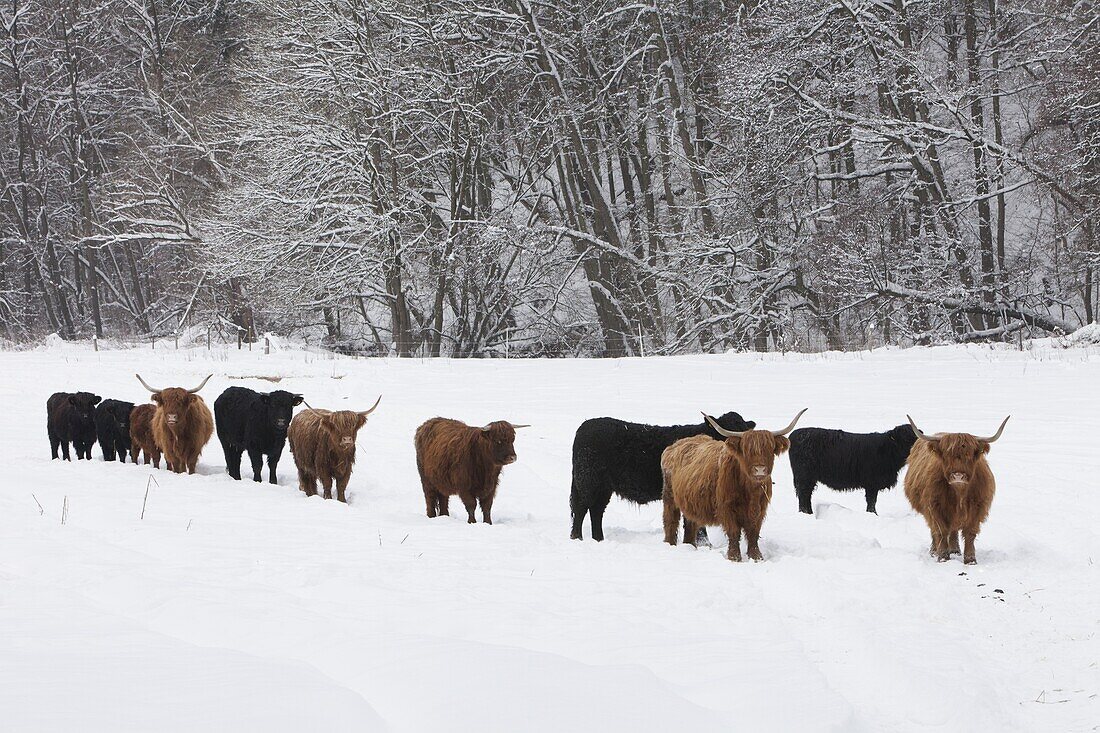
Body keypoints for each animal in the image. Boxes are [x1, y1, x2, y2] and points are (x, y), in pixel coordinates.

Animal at [567, 407, 756, 539]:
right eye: (726, 432)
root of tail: (584, 426)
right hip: (588, 483)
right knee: (581, 509)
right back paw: (578, 538)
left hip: (603, 487)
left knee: (596, 511)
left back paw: (598, 539)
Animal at [660, 407, 809, 556]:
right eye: (746, 450)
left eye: (770, 449)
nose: (759, 469)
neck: (750, 491)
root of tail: (675, 445)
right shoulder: (726, 508)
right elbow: (734, 532)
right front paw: (734, 557)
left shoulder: (760, 510)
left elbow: (753, 533)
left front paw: (756, 556)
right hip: (669, 497)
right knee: (670, 521)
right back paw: (669, 545)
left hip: (690, 501)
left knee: (691, 524)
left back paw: (690, 546)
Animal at [906, 413, 1007, 561]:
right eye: (947, 455)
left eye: (969, 454)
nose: (958, 476)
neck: (959, 493)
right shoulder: (934, 506)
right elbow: (941, 531)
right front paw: (943, 557)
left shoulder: (978, 507)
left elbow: (970, 532)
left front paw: (970, 559)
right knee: (935, 530)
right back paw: (934, 551)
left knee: (953, 529)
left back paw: (954, 550)